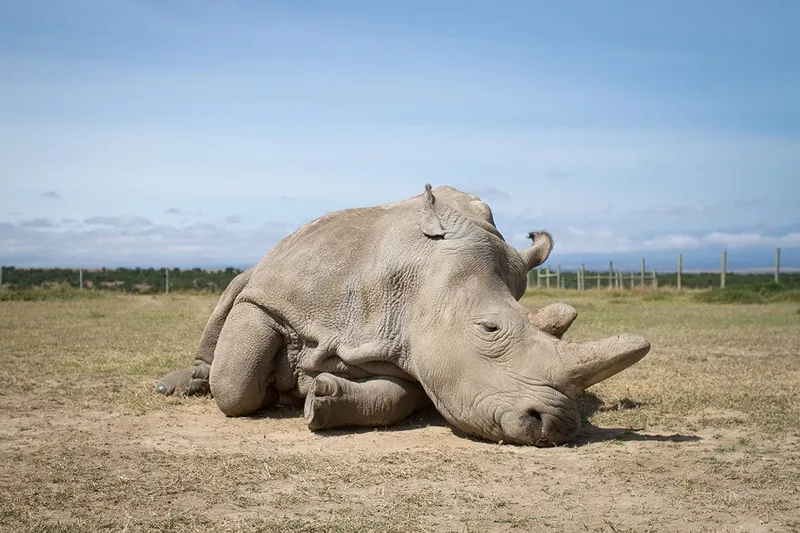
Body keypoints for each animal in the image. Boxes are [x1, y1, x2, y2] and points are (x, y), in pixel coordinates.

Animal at [156, 185, 650, 446]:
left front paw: (316, 395)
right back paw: (181, 385)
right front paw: (274, 393)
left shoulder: (408, 344)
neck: (414, 275)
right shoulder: (272, 298)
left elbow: (397, 396)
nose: (558, 427)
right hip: (260, 268)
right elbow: (235, 383)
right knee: (233, 294)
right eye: (489, 328)